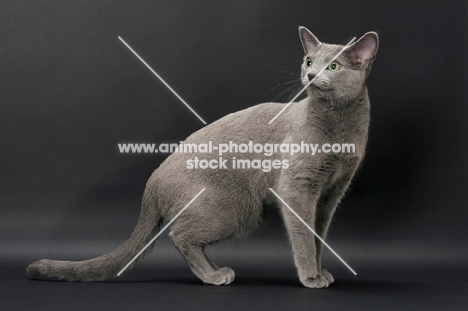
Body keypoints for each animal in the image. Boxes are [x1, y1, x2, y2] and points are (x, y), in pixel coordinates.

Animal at [25, 26, 378, 290]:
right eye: (308, 60)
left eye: (333, 66)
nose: (311, 75)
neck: (339, 127)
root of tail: (153, 180)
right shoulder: (297, 188)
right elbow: (303, 236)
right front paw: (311, 277)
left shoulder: (331, 193)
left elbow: (318, 235)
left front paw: (321, 272)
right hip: (238, 208)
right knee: (180, 235)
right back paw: (212, 276)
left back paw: (218, 271)